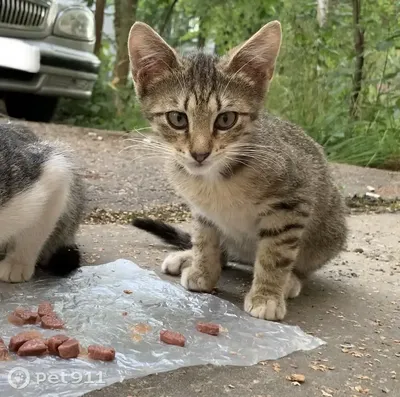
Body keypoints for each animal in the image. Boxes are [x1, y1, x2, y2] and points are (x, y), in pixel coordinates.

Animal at [128, 20, 346, 320]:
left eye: (226, 120)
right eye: (177, 119)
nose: (200, 153)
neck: (214, 180)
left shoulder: (295, 201)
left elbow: (276, 254)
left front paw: (267, 295)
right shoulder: (202, 210)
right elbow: (204, 239)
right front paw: (203, 271)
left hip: (328, 233)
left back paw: (291, 280)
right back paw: (188, 257)